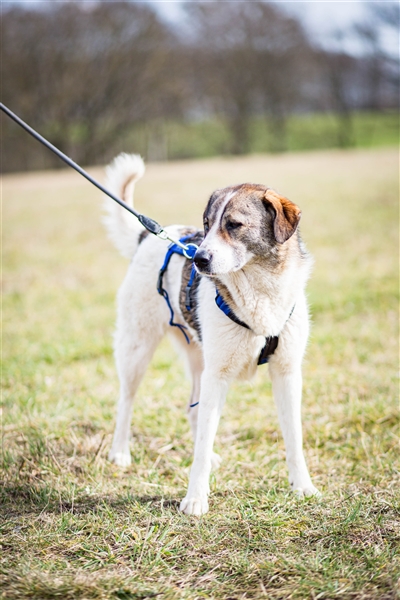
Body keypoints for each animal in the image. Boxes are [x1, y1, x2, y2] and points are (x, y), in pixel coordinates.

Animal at [103, 153, 319, 515]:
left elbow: (294, 437)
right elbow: (203, 445)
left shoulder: (287, 372)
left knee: (193, 409)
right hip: (138, 348)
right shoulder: (218, 375)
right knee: (126, 400)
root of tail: (150, 237)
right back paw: (120, 452)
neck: (259, 289)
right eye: (206, 225)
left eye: (233, 225)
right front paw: (195, 498)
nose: (200, 258)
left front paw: (302, 486)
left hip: (198, 359)